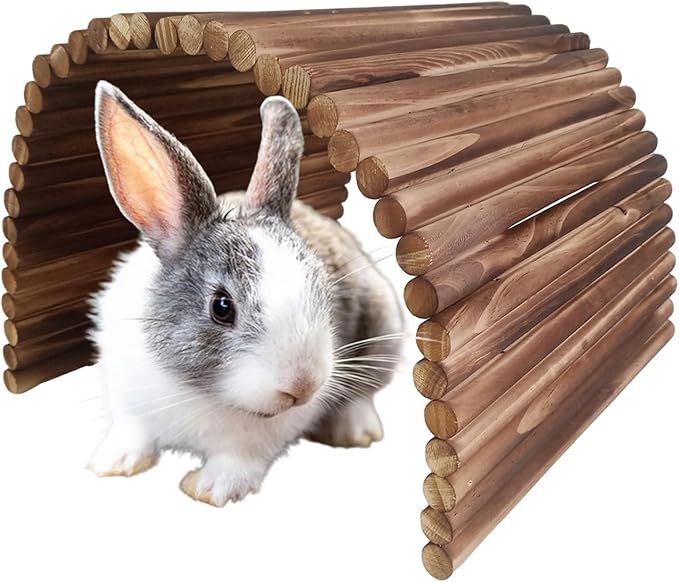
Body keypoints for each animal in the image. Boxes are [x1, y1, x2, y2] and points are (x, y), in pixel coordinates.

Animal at [86, 81, 404, 507]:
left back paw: (354, 430)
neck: (201, 391)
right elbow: (130, 431)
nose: (303, 386)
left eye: (322, 288)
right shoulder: (126, 395)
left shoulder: (256, 439)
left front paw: (209, 490)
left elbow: (237, 458)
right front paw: (111, 464)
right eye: (222, 307)